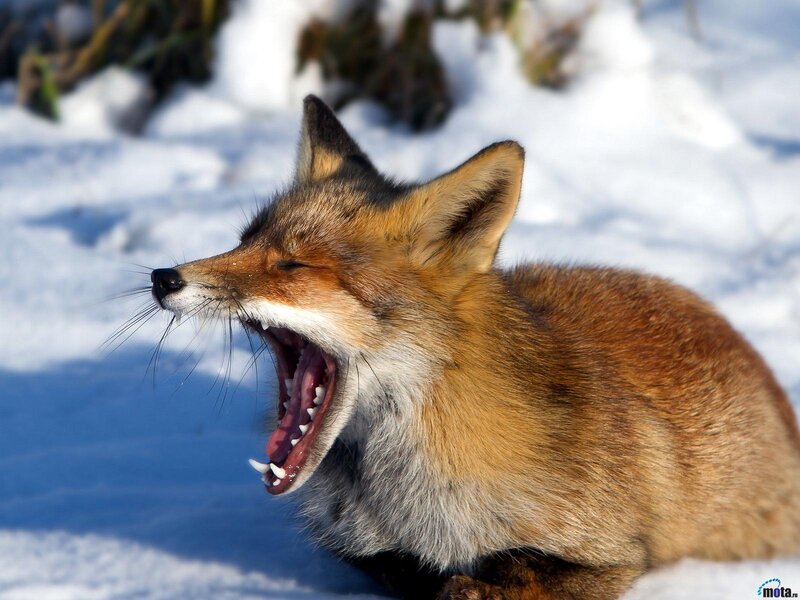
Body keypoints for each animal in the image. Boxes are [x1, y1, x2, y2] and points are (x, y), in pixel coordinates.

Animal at [149, 95, 800, 599]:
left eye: (292, 264)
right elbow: (405, 570)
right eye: (243, 241)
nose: (162, 277)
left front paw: (472, 580)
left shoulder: (616, 553)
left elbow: (506, 575)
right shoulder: (359, 549)